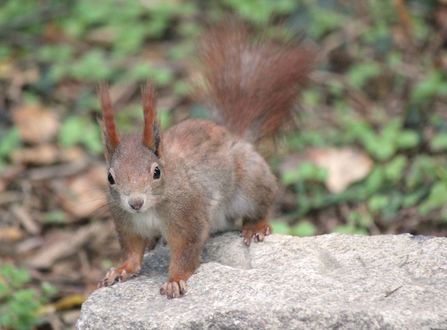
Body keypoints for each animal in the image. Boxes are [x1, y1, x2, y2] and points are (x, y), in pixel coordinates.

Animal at [96, 21, 314, 298]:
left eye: (156, 172)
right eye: (110, 177)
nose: (135, 203)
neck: (150, 210)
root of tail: (233, 135)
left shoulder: (189, 217)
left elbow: (186, 252)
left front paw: (175, 280)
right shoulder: (126, 223)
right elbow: (132, 252)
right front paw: (121, 269)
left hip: (250, 181)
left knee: (261, 204)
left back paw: (255, 227)